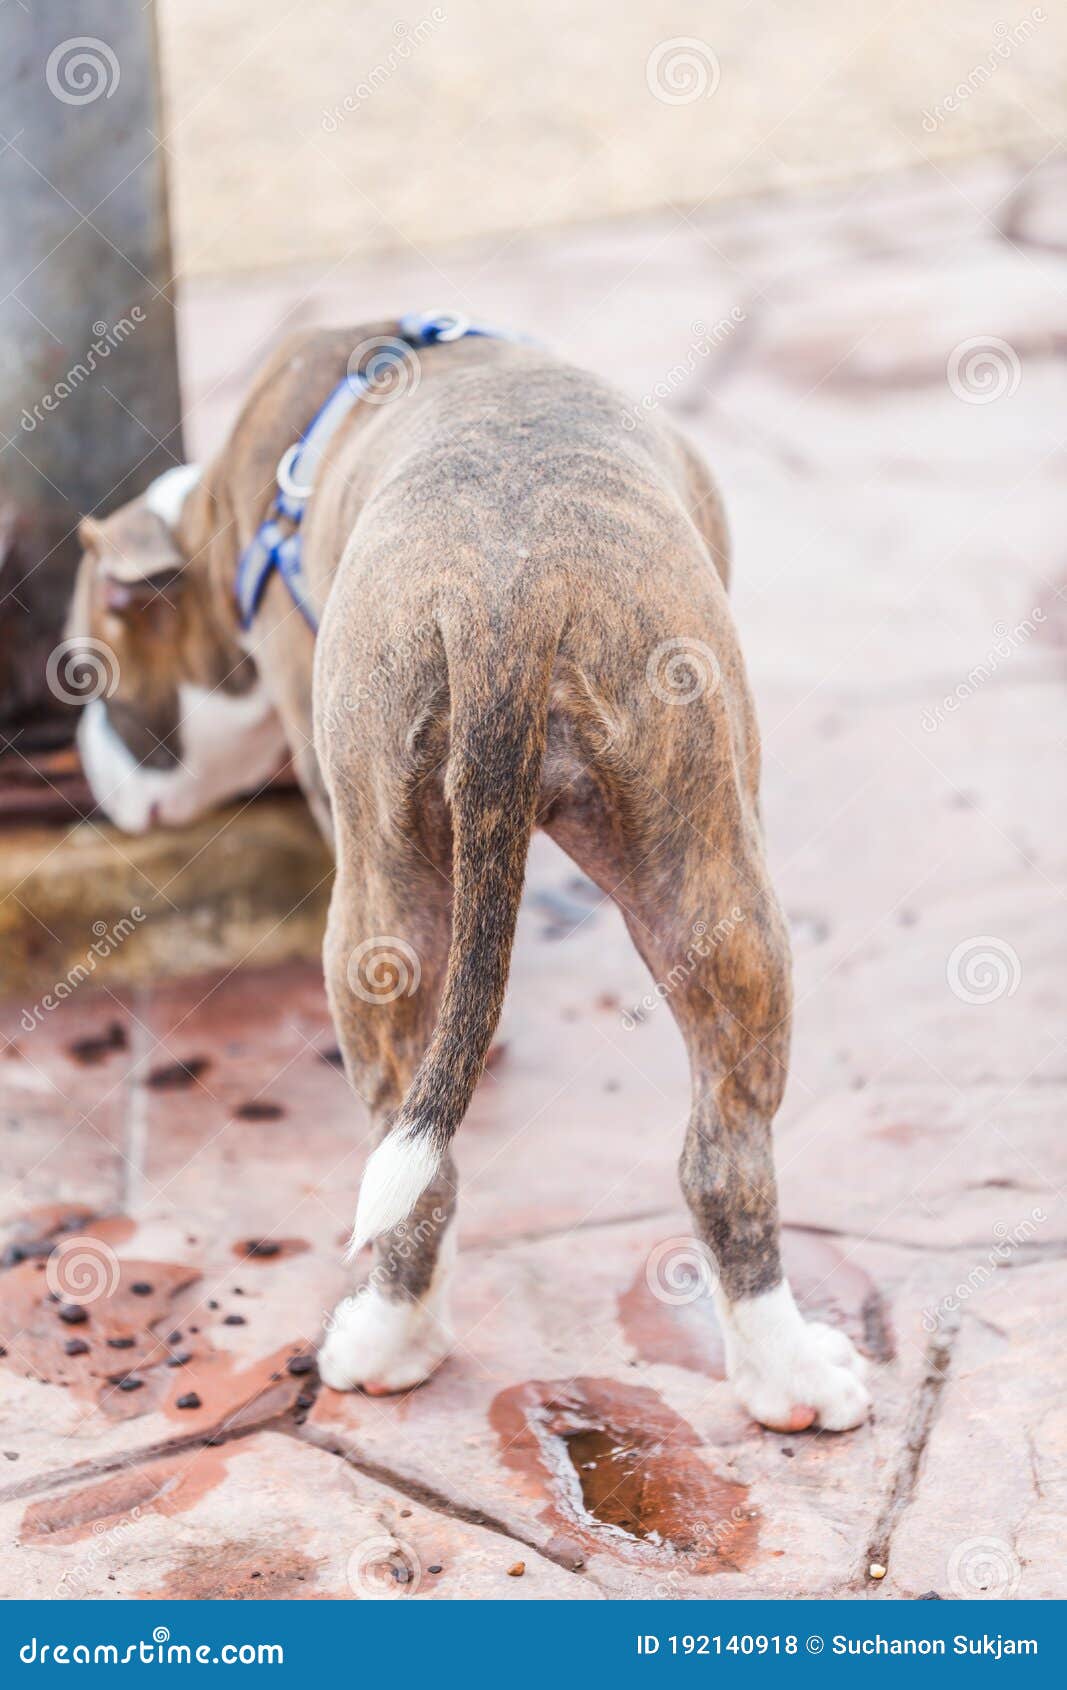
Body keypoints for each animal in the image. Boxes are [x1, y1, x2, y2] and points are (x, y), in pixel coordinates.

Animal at [66, 317, 872, 1426]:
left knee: (424, 1159)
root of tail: (504, 600)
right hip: (704, 875)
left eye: (87, 669)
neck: (226, 513)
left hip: (387, 896)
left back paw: (392, 1335)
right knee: (719, 1152)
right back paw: (782, 1374)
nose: (85, 774)